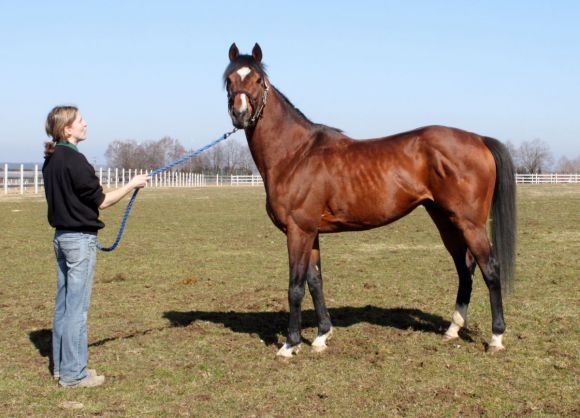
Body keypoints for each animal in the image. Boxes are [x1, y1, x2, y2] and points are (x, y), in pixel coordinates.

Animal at [223, 42, 516, 358]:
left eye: (258, 80)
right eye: (229, 80)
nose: (240, 114)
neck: (296, 153)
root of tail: (479, 139)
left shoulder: (298, 231)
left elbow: (296, 287)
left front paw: (290, 344)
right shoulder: (312, 232)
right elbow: (315, 282)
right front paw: (321, 336)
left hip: (469, 223)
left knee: (490, 269)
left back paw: (496, 337)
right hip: (445, 220)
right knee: (465, 268)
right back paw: (452, 329)